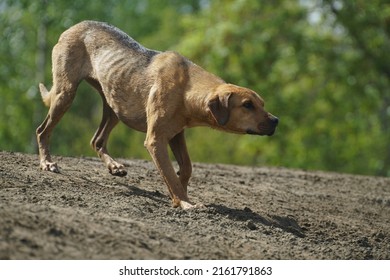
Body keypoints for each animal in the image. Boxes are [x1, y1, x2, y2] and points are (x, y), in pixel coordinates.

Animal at [36, 20, 278, 209]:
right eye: (247, 105)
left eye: (262, 103)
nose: (276, 121)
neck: (187, 88)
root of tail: (72, 28)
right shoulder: (156, 140)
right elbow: (169, 173)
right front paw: (184, 202)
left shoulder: (176, 135)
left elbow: (186, 168)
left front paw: (179, 192)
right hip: (66, 94)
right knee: (42, 131)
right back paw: (47, 163)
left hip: (115, 107)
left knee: (97, 140)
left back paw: (114, 167)